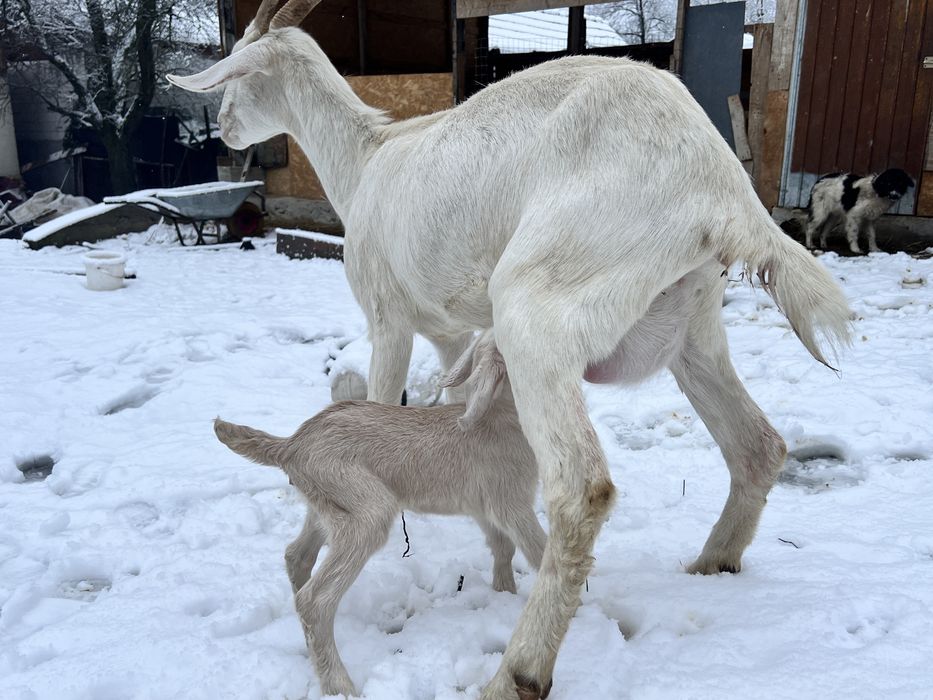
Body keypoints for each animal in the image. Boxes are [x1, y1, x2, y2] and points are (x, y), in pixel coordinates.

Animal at [214, 331, 546, 698]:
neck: (501, 414)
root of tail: (291, 446)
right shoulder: (512, 503)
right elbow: (538, 550)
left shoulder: (484, 507)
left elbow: (503, 549)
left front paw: (505, 594)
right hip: (366, 511)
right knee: (314, 600)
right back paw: (340, 685)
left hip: (326, 505)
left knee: (296, 556)